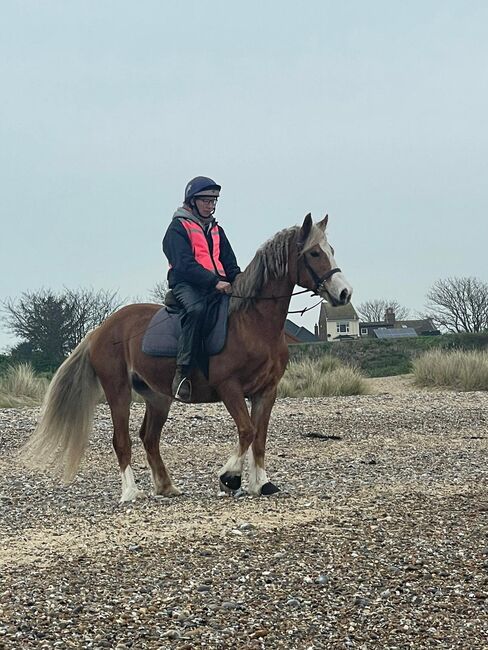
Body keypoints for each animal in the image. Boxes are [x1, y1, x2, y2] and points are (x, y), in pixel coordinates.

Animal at [23, 213, 350, 502]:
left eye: (332, 251)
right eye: (315, 253)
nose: (344, 293)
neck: (253, 323)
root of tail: (101, 329)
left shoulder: (266, 391)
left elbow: (259, 438)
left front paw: (261, 483)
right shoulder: (229, 387)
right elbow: (247, 431)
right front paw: (229, 476)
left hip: (158, 397)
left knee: (149, 437)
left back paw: (166, 486)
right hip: (118, 391)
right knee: (122, 440)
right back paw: (130, 492)